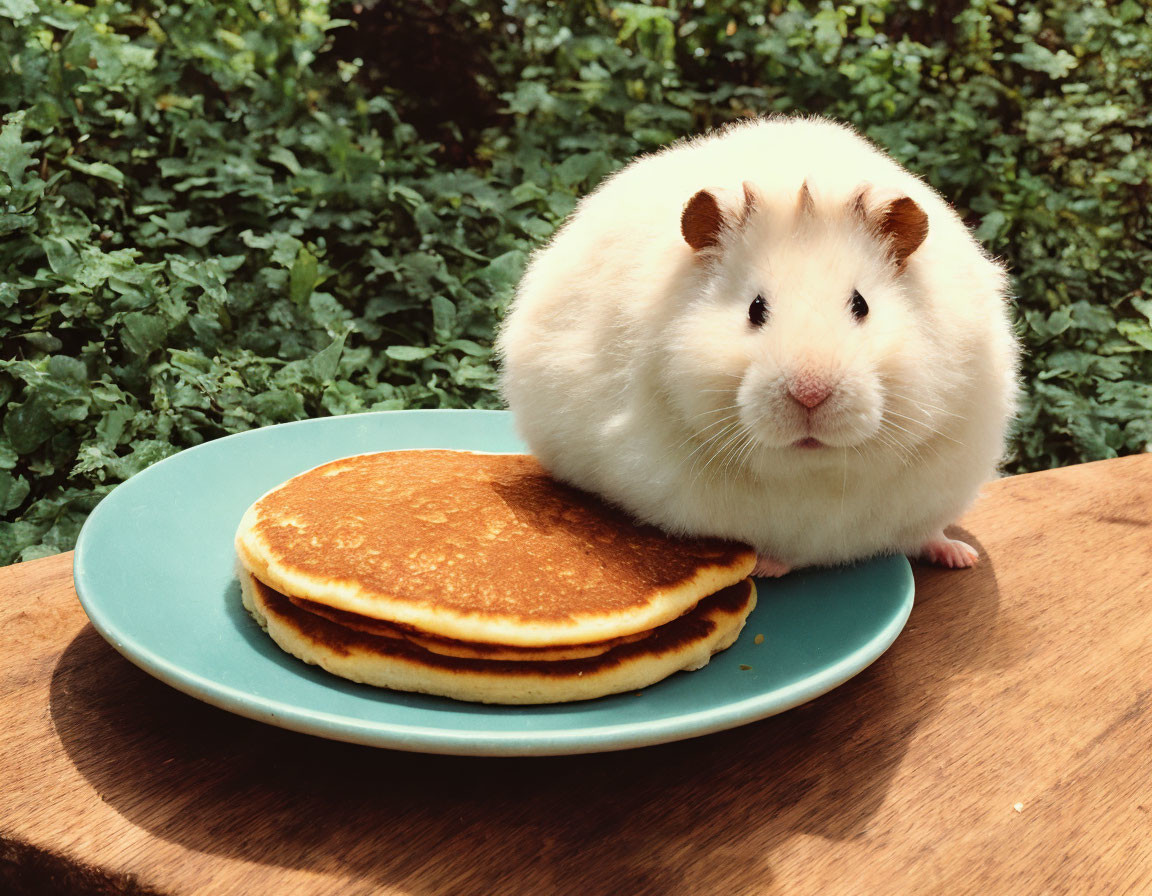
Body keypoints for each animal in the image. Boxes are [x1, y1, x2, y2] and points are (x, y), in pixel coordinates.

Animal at [495, 115, 1018, 573]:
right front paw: (763, 569)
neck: (818, 471)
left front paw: (964, 558)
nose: (810, 394)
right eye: (755, 309)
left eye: (861, 305)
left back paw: (959, 557)